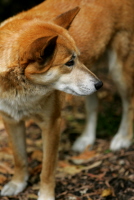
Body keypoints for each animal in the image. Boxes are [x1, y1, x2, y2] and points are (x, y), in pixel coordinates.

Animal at [0, 1, 102, 200]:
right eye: (69, 63)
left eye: (77, 58)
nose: (99, 84)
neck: (21, 93)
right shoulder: (11, 120)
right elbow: (19, 158)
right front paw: (17, 183)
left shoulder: (52, 123)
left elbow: (47, 169)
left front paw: (45, 195)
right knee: (93, 106)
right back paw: (86, 139)